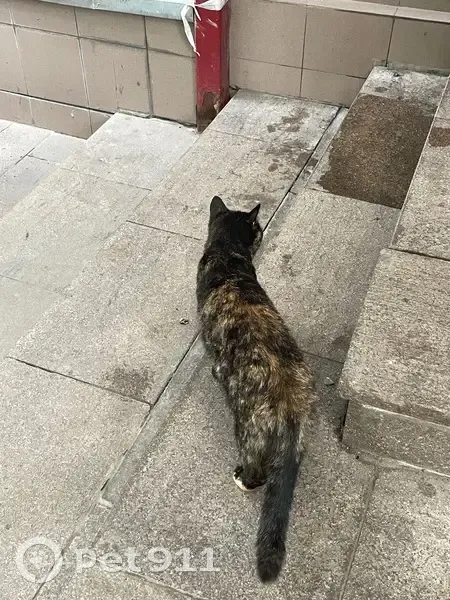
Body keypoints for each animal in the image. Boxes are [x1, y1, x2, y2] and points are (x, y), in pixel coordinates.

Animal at [196, 196, 314, 583]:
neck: (227, 257)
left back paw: (242, 478)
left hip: (246, 429)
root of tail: (292, 400)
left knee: (258, 474)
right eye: (259, 229)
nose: (261, 234)